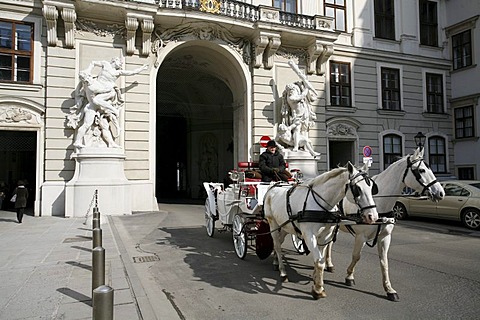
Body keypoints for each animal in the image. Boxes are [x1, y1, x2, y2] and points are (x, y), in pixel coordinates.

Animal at [262, 162, 378, 300]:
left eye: (371, 188)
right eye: (357, 189)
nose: (373, 216)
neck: (322, 205)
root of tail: (273, 186)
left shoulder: (325, 236)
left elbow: (320, 259)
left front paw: (316, 280)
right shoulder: (309, 235)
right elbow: (319, 262)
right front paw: (318, 289)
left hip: (285, 226)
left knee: (278, 243)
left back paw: (275, 261)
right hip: (272, 224)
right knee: (277, 246)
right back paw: (283, 272)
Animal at [324, 149, 444, 302]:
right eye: (421, 170)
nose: (440, 193)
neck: (378, 203)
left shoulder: (385, 237)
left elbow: (384, 262)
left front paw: (389, 289)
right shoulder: (361, 237)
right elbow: (356, 256)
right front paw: (349, 276)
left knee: (329, 244)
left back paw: (329, 264)